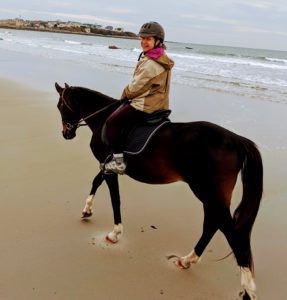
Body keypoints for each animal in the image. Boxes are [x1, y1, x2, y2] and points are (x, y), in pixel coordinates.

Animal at [55, 82, 264, 300]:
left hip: (207, 192)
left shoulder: (109, 167)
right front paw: (87, 210)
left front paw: (114, 233)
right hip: (212, 196)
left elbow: (115, 199)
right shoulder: (106, 166)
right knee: (212, 224)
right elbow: (96, 181)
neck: (103, 117)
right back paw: (187, 260)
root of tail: (237, 140)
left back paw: (248, 288)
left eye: (60, 106)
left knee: (230, 232)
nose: (66, 133)